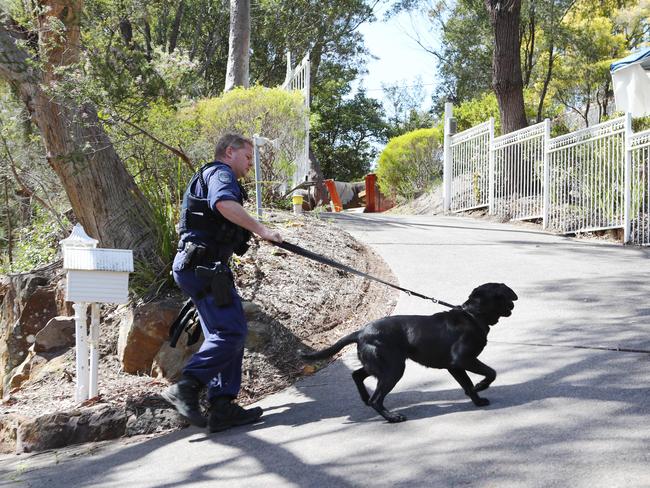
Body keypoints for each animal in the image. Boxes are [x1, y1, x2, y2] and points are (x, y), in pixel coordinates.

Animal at [300, 282, 516, 424]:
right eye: (505, 294)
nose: (514, 302)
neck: (473, 315)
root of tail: (360, 332)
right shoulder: (462, 360)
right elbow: (491, 373)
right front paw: (481, 387)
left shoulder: (454, 367)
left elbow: (468, 385)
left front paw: (477, 400)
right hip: (394, 369)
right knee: (376, 398)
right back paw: (392, 417)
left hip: (381, 365)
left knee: (357, 375)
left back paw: (364, 398)